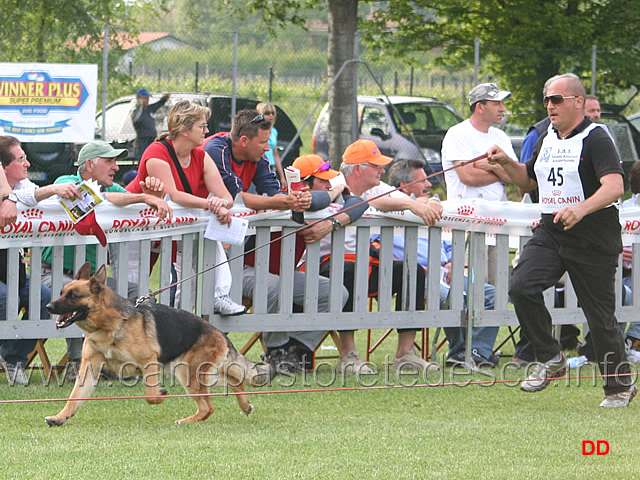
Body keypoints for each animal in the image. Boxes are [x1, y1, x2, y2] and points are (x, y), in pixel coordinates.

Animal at [45, 264, 272, 426]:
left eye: (73, 296)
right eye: (61, 292)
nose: (48, 306)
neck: (110, 325)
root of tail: (218, 332)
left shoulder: (149, 362)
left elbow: (150, 395)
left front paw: (161, 395)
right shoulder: (89, 368)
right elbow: (74, 397)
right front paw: (60, 417)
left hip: (189, 374)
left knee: (211, 404)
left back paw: (189, 420)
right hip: (194, 373)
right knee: (232, 383)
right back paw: (243, 406)